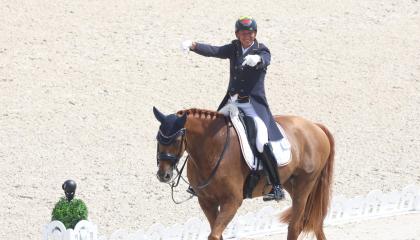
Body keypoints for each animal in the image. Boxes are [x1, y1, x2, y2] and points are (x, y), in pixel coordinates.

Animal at [153, 107, 334, 240]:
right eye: (157, 139)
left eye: (176, 140)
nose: (163, 175)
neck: (213, 148)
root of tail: (315, 126)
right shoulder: (206, 201)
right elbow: (216, 234)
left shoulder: (232, 201)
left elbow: (214, 235)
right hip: (290, 183)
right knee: (315, 223)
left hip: (304, 185)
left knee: (294, 226)